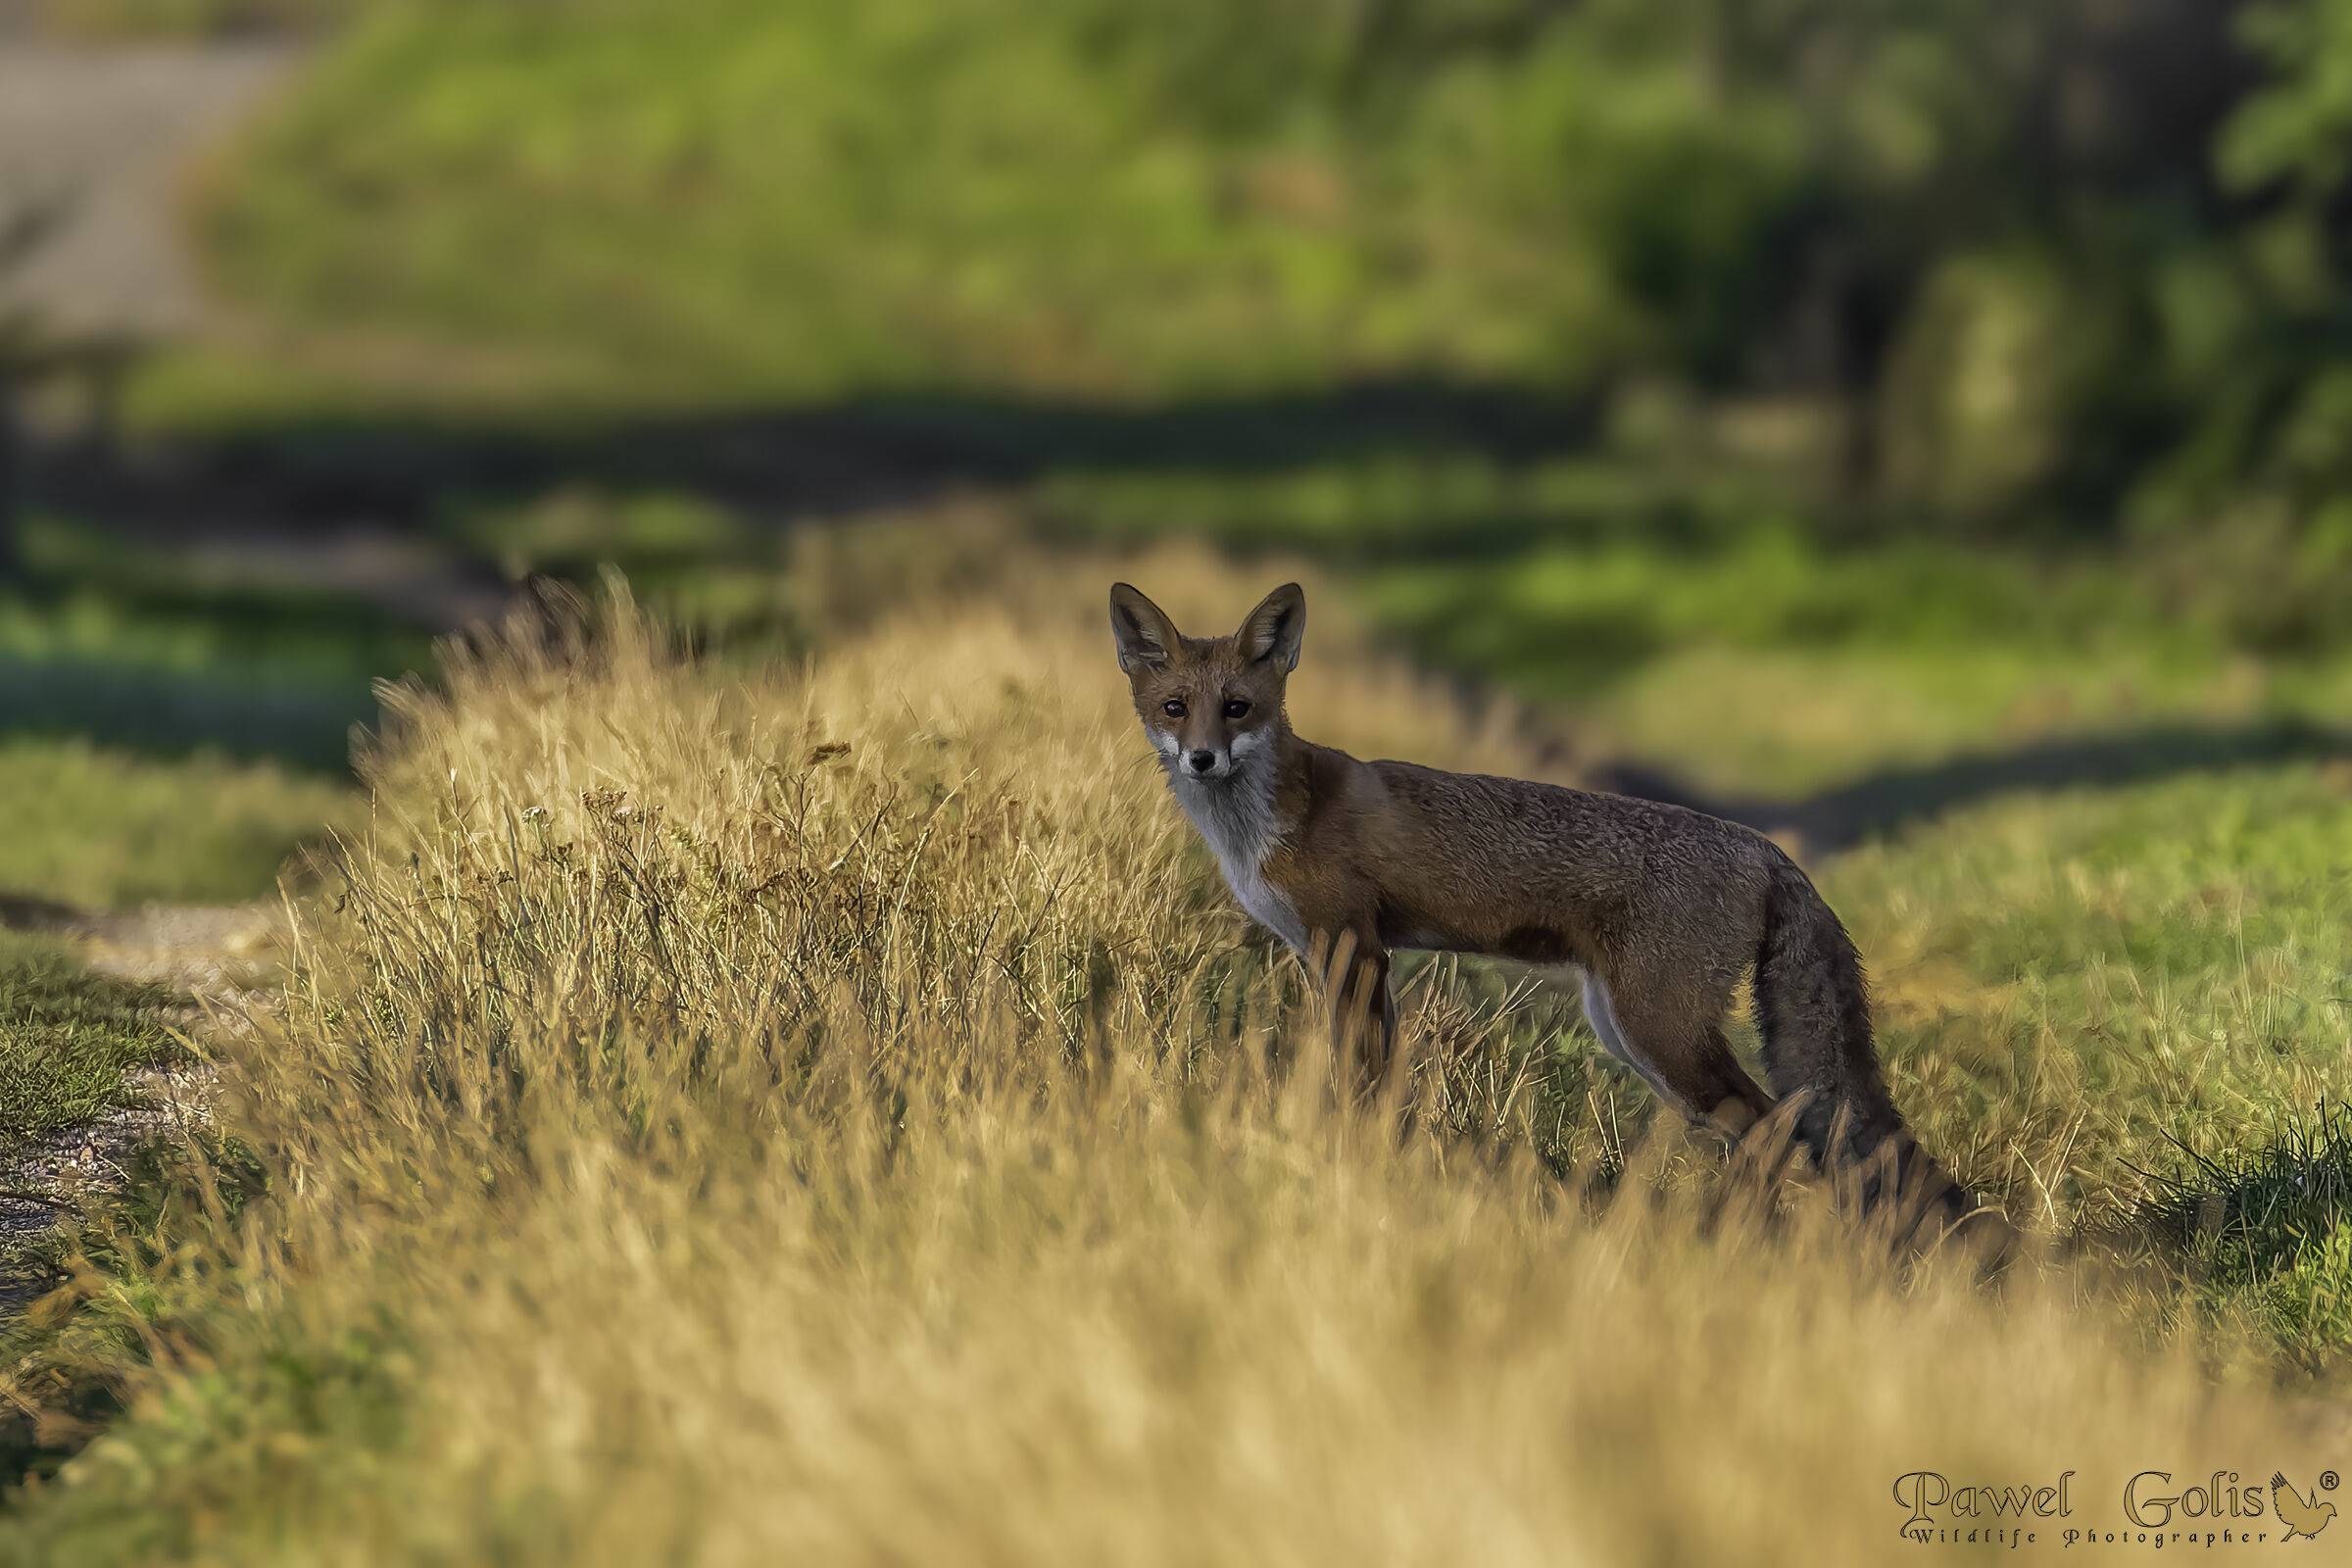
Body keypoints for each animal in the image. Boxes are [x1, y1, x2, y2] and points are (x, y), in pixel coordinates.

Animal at [1110, 578, 1988, 1236]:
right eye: (1175, 708)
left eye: (1238, 708)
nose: (1201, 758)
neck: (1269, 820)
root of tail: (1765, 847)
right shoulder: (1353, 956)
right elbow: (1381, 1083)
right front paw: (1379, 1167)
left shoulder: (1350, 946)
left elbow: (1353, 1077)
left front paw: (1346, 1164)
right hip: (1630, 1030)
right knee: (1784, 1130)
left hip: (1659, 1030)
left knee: (1777, 1128)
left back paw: (1720, 1240)